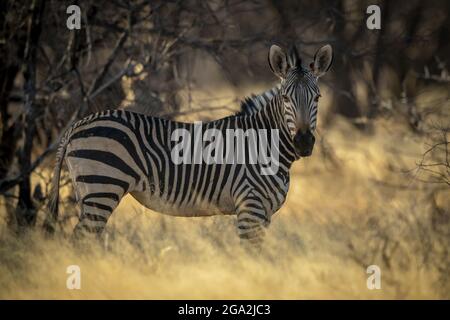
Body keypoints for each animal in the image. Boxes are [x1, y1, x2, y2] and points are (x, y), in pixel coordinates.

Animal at [44, 43, 332, 249]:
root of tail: (78, 123)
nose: (304, 142)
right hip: (102, 188)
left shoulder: (265, 214)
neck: (264, 144)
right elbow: (252, 257)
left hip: (90, 192)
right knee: (79, 241)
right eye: (285, 98)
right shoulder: (250, 208)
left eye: (318, 97)